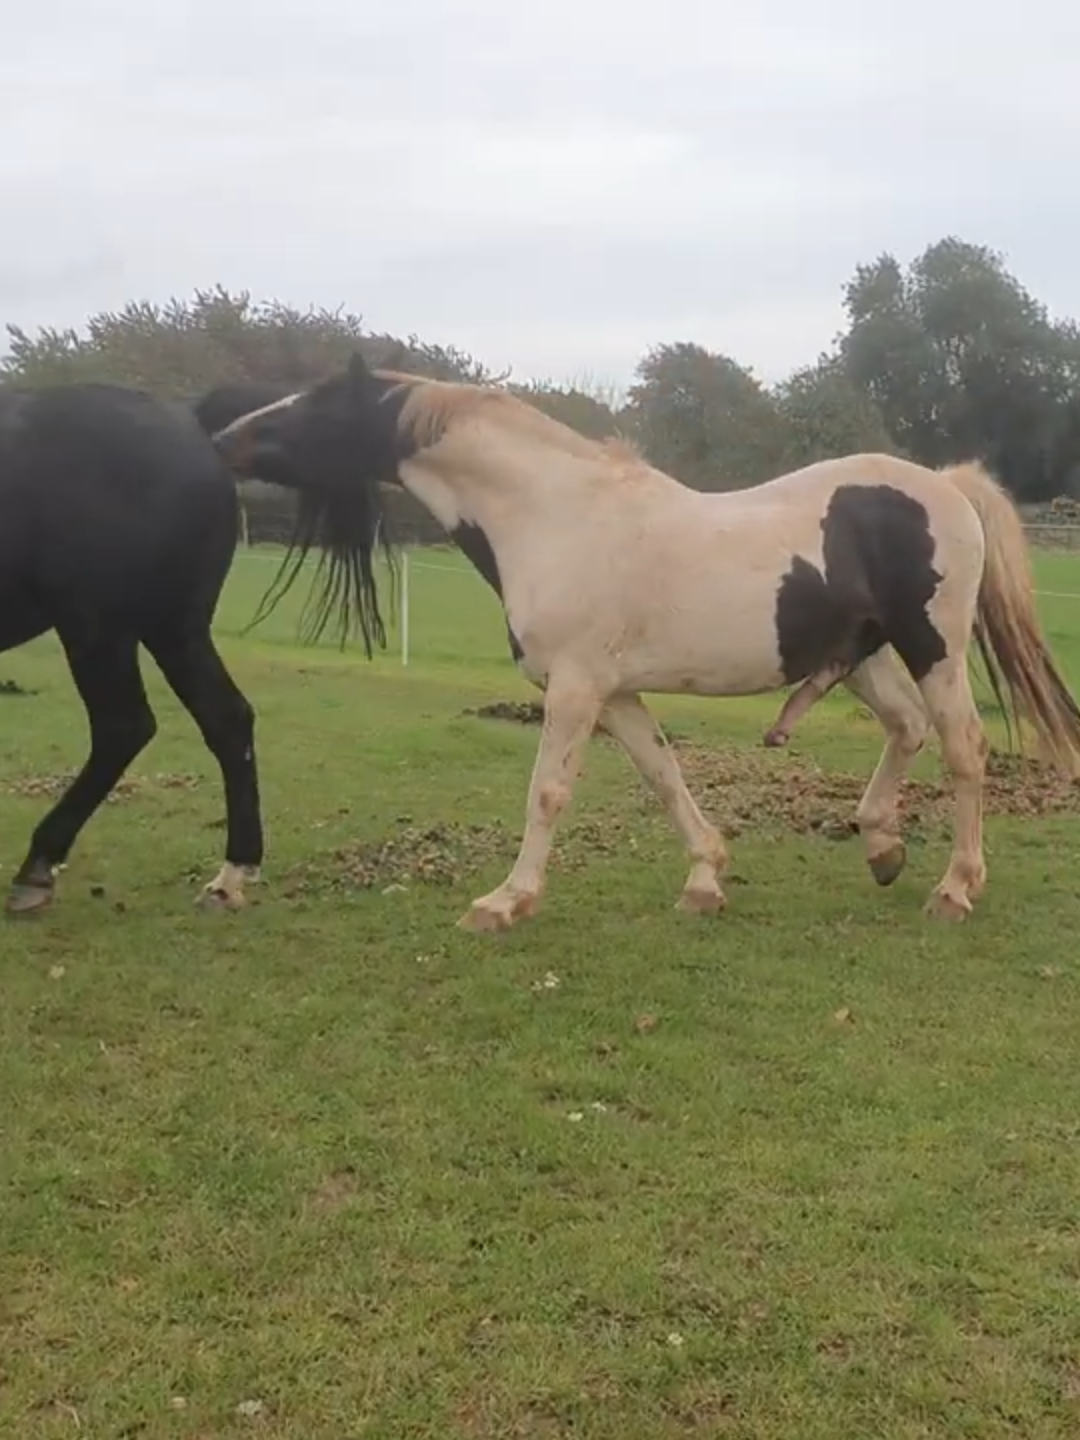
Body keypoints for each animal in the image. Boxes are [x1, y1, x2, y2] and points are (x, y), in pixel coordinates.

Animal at [0, 377, 388, 915]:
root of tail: (191, 422)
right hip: (169, 628)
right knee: (226, 719)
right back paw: (233, 874)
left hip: (101, 626)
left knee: (125, 727)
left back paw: (37, 868)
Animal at [211, 354, 1080, 927]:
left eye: (322, 403)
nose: (223, 437)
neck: (552, 515)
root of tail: (947, 486)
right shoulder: (616, 693)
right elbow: (663, 777)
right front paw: (705, 879)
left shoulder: (573, 689)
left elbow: (548, 791)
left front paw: (506, 900)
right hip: (865, 658)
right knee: (906, 730)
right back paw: (881, 847)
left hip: (933, 646)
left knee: (963, 748)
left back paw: (956, 886)